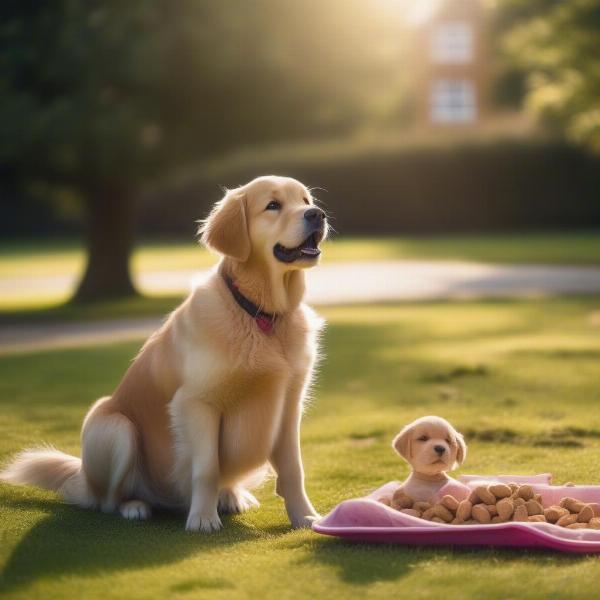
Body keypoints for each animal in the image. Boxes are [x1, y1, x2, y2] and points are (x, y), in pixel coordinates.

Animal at [1, 176, 328, 532]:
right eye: (273, 205)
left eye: (305, 200)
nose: (318, 214)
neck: (260, 315)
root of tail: (83, 480)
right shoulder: (195, 403)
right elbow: (207, 468)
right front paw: (203, 519)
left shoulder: (289, 405)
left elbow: (293, 469)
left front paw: (306, 516)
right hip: (113, 426)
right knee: (107, 501)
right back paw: (135, 506)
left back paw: (231, 495)